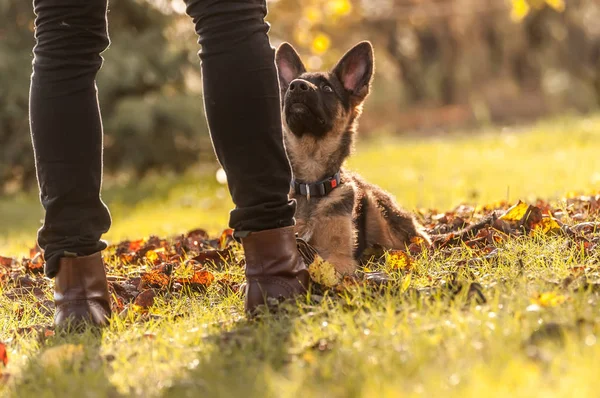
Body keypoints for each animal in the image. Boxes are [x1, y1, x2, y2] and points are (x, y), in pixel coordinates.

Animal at [274, 42, 434, 276]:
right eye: (290, 88)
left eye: (327, 88)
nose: (296, 86)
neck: (311, 188)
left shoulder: (340, 257)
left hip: (379, 211)